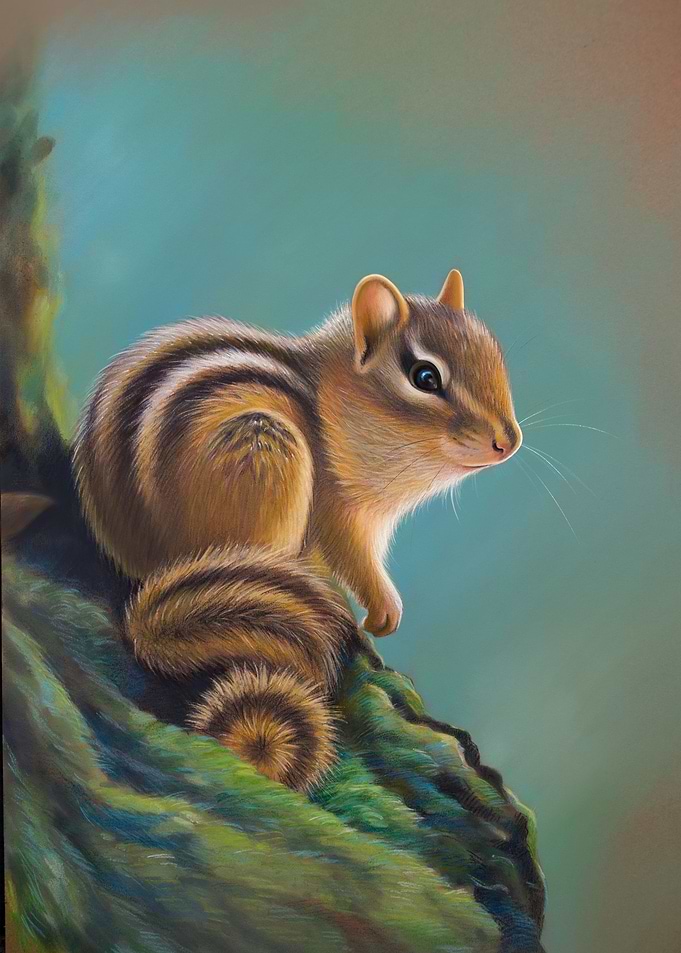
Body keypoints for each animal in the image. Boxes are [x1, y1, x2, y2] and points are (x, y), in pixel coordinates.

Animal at [73, 269, 522, 791]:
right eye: (425, 377)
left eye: (496, 355)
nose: (509, 441)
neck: (344, 409)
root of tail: (150, 574)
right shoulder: (339, 510)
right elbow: (355, 562)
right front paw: (382, 612)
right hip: (266, 456)